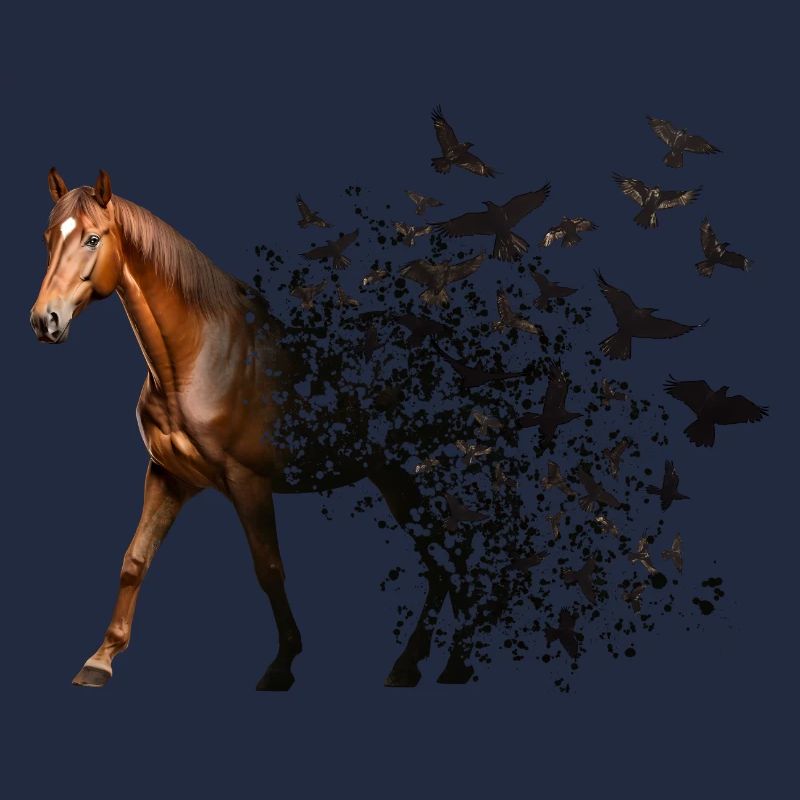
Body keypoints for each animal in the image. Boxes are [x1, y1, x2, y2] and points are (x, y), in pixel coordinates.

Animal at [30, 168, 475, 690]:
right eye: (48, 238)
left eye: (93, 238)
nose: (45, 320)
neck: (196, 362)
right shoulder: (167, 476)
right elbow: (134, 559)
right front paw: (100, 659)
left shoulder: (249, 482)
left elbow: (269, 568)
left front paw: (282, 664)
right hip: (392, 476)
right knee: (442, 559)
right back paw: (414, 664)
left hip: (418, 474)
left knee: (453, 553)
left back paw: (453, 663)